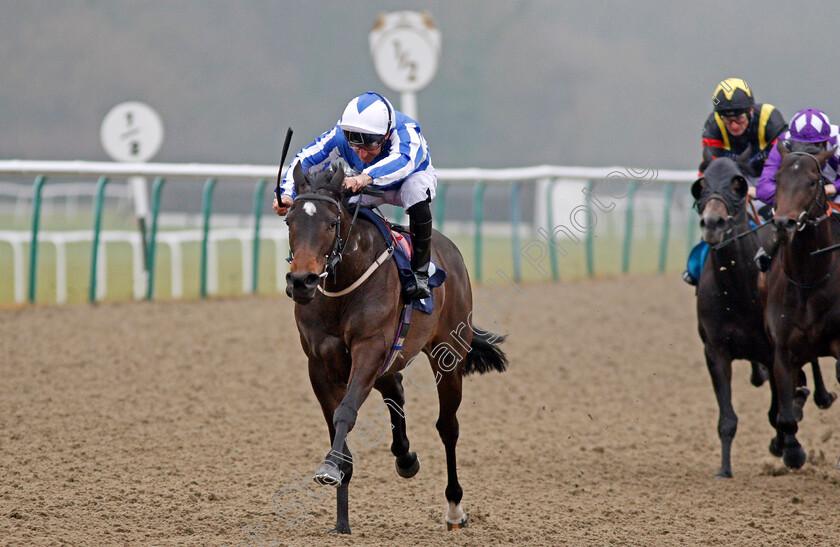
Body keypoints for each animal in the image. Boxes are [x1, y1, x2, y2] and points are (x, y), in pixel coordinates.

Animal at [282, 164, 508, 536]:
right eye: (290, 221)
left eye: (331, 222)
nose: (302, 281)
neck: (344, 286)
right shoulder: (320, 363)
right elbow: (336, 423)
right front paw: (341, 521)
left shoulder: (369, 348)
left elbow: (346, 412)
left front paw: (329, 469)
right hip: (390, 359)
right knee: (395, 388)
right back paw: (405, 457)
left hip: (448, 354)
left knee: (448, 426)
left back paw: (455, 509)